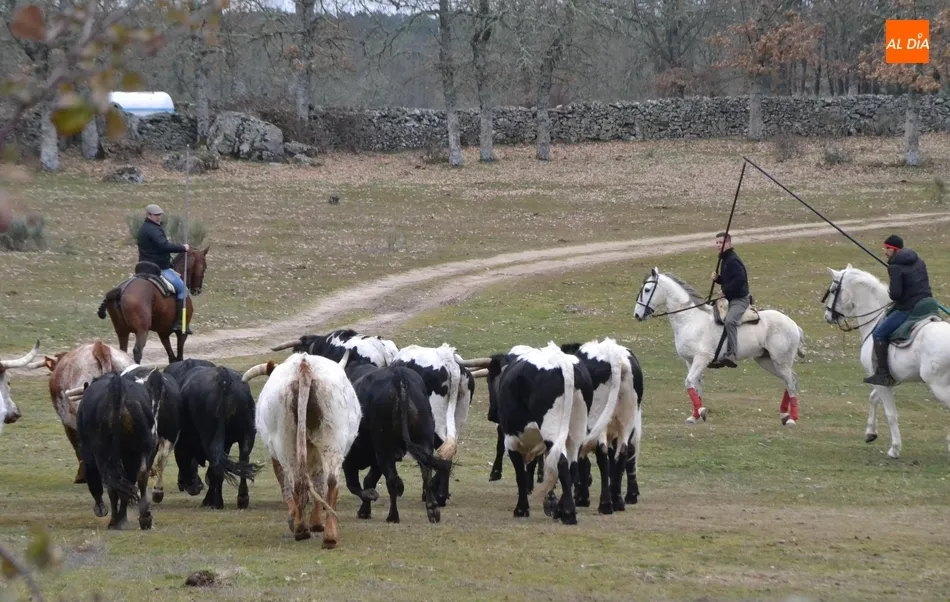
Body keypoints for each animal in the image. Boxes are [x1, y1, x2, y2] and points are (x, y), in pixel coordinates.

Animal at [633, 267, 806, 425]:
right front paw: (695, 415)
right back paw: (784, 414)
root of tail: (793, 324)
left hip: (780, 361)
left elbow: (689, 382)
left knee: (791, 383)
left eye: (647, 290)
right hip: (767, 361)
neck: (690, 319)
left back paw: (792, 418)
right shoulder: (690, 361)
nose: (637, 315)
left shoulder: (702, 358)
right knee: (789, 381)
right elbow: (696, 386)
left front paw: (701, 411)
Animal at [822, 264, 950, 459]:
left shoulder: (880, 380)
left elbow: (890, 414)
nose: (827, 316)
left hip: (939, 385)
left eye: (833, 290)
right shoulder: (885, 379)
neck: (875, 320)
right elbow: (873, 398)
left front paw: (894, 448)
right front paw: (870, 433)